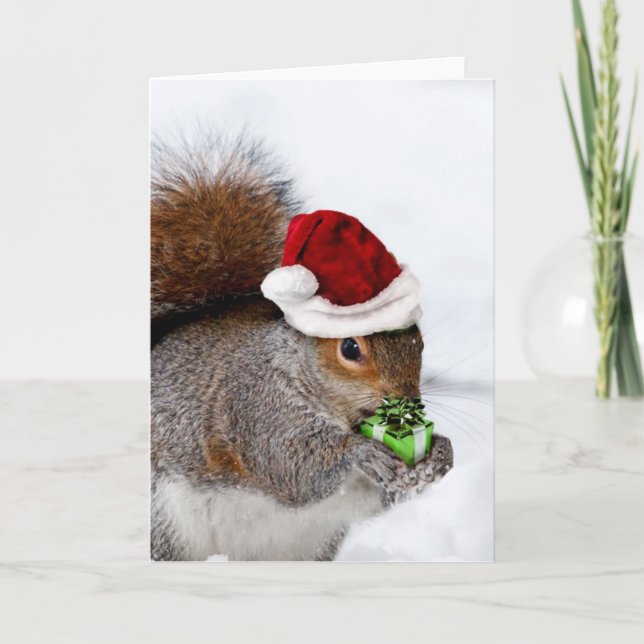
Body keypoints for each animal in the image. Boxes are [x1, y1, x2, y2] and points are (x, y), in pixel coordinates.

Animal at [150, 134, 454, 561]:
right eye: (350, 349)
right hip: (164, 526)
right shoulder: (257, 406)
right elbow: (292, 465)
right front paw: (360, 452)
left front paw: (440, 454)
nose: (406, 401)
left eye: (419, 338)